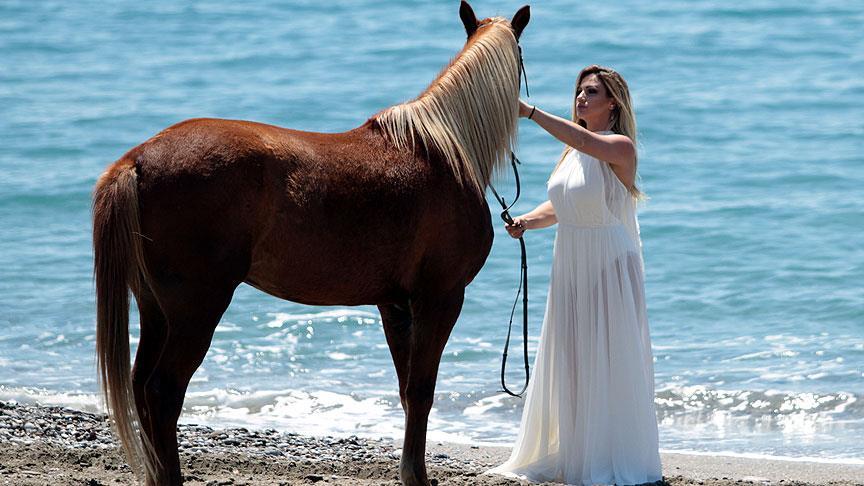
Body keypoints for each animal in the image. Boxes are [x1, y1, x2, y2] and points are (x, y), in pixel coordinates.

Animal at [93, 2, 530, 484]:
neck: (444, 150)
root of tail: (136, 159)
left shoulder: (395, 305)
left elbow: (407, 391)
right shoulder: (440, 298)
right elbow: (422, 390)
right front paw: (417, 475)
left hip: (155, 309)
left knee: (140, 387)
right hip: (196, 310)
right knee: (162, 392)